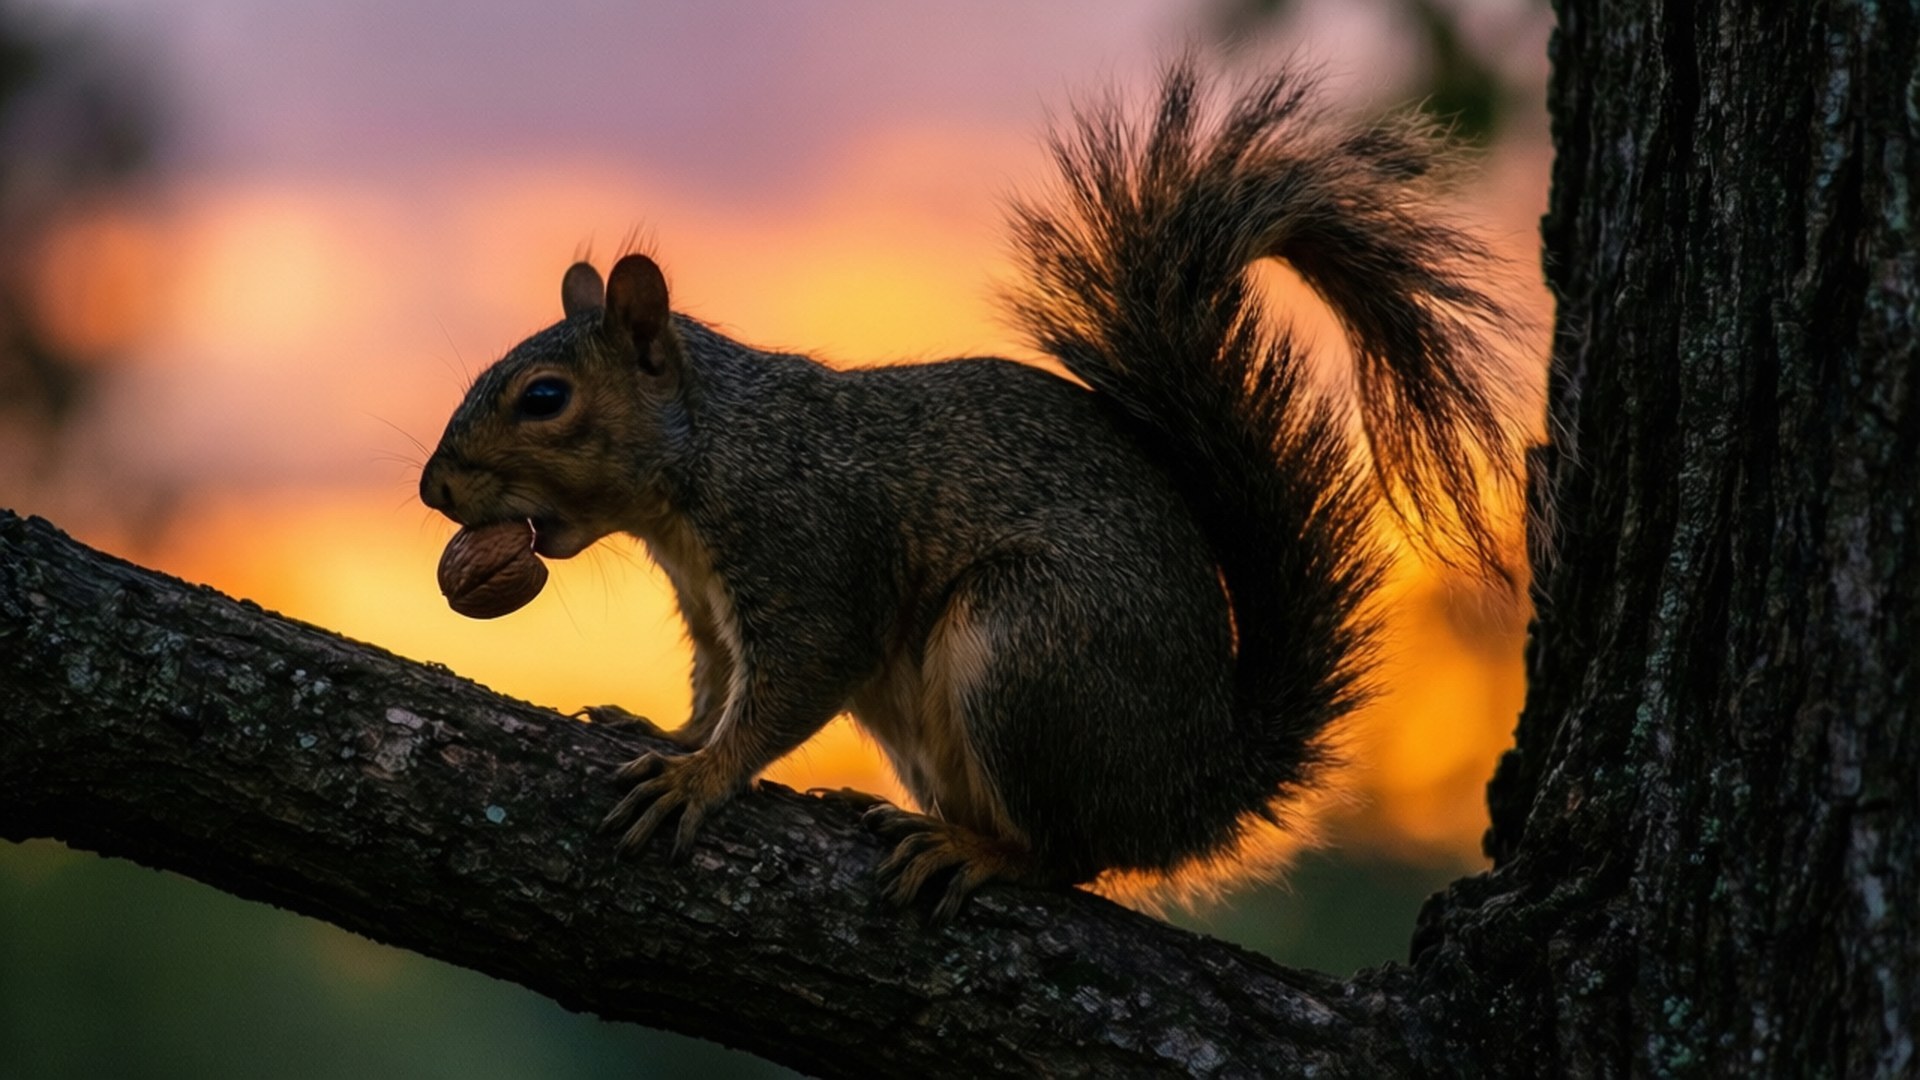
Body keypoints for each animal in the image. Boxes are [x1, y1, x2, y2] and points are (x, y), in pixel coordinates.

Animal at [419, 59, 1520, 922]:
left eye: (545, 397)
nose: (433, 489)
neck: (713, 454)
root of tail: (1194, 788)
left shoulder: (809, 548)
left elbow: (790, 685)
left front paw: (699, 776)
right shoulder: (710, 606)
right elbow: (716, 683)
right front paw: (671, 734)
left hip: (1028, 647)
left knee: (1072, 857)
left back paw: (980, 849)